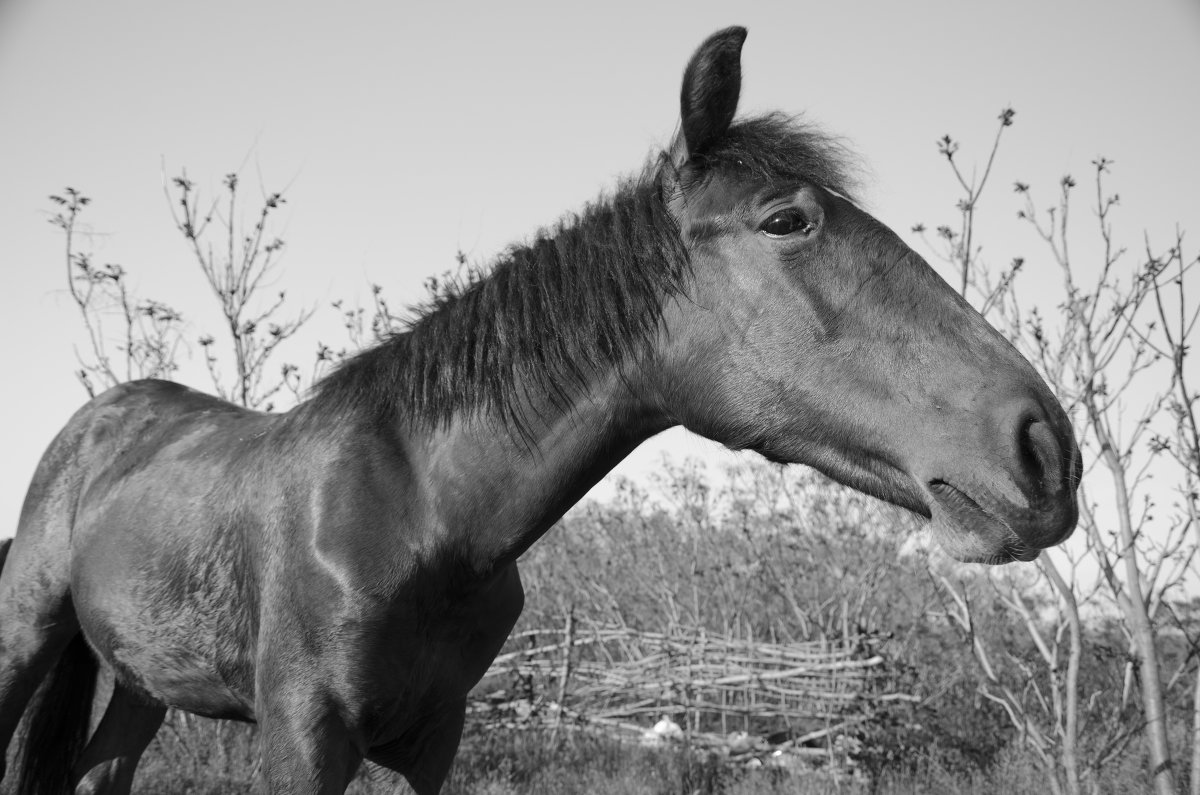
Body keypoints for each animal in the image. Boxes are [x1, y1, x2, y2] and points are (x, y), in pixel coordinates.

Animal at [0, 26, 1080, 795]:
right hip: (25, 638)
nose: (1045, 447)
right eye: (786, 219)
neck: (417, 511)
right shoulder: (302, 739)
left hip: (143, 678)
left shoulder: (435, 739)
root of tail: (101, 420)